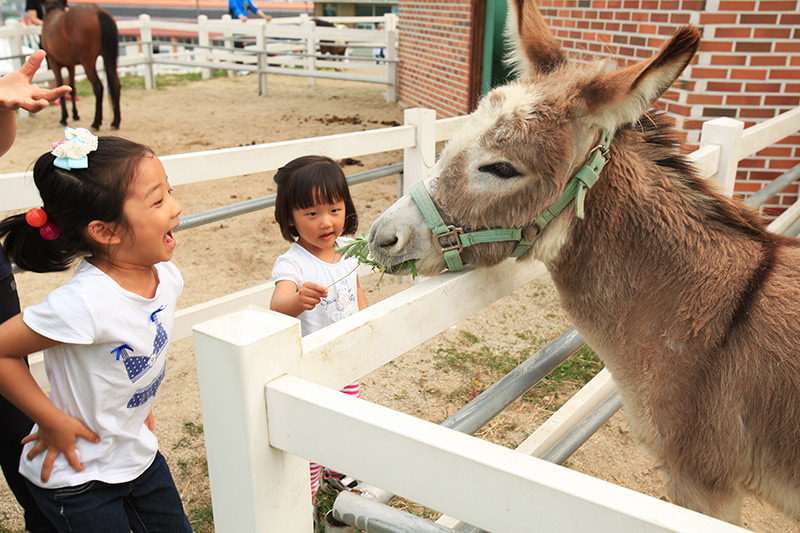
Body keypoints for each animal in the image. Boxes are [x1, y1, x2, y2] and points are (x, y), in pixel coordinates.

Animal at [41, 0, 120, 129]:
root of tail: (97, 11)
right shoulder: (70, 65)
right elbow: (71, 88)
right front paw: (75, 115)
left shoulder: (54, 63)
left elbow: (59, 87)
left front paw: (63, 118)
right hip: (108, 57)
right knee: (115, 84)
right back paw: (115, 122)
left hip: (88, 62)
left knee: (98, 87)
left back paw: (96, 122)